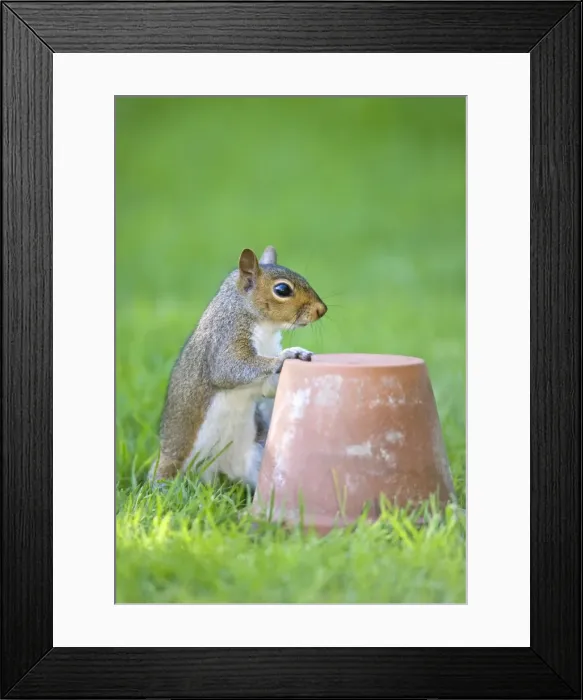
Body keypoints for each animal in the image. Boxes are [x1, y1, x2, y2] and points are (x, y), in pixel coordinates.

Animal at [150, 245, 327, 490]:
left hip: (254, 458)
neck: (263, 325)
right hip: (171, 465)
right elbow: (230, 368)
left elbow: (266, 388)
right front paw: (287, 355)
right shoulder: (224, 340)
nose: (322, 309)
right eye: (282, 289)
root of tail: (219, 472)